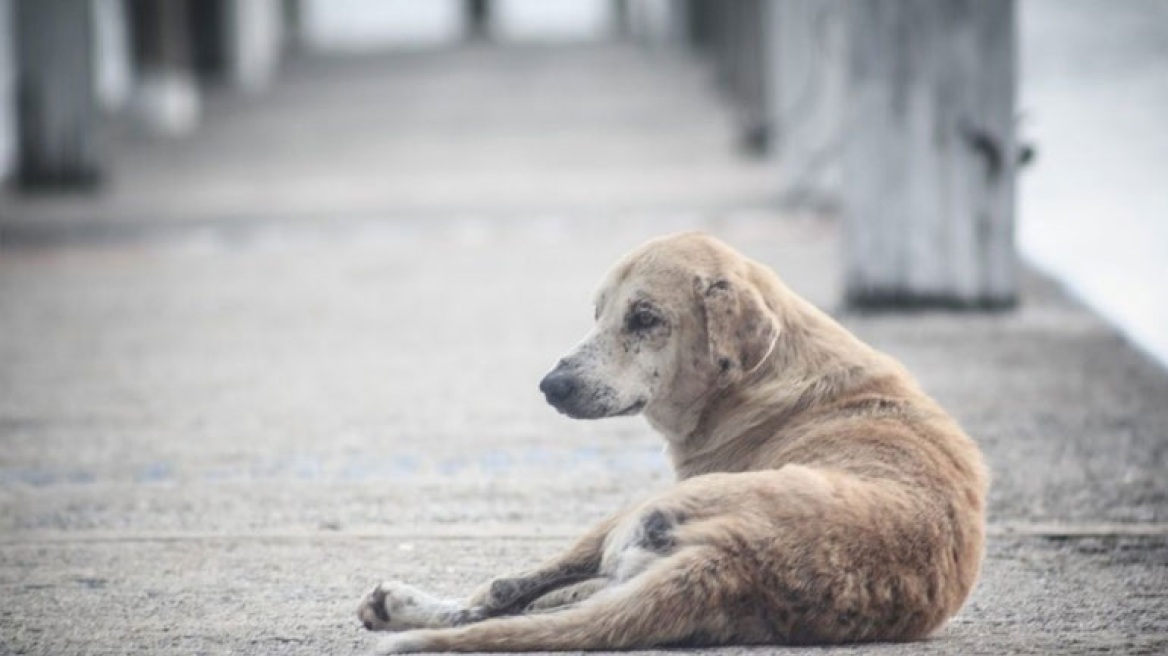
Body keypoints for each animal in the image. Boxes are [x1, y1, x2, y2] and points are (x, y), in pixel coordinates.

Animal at [355, 229, 985, 648]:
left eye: (645, 318)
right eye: (598, 313)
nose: (550, 386)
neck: (766, 373)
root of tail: (732, 560)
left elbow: (510, 588)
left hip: (636, 515)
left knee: (500, 598)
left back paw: (400, 606)